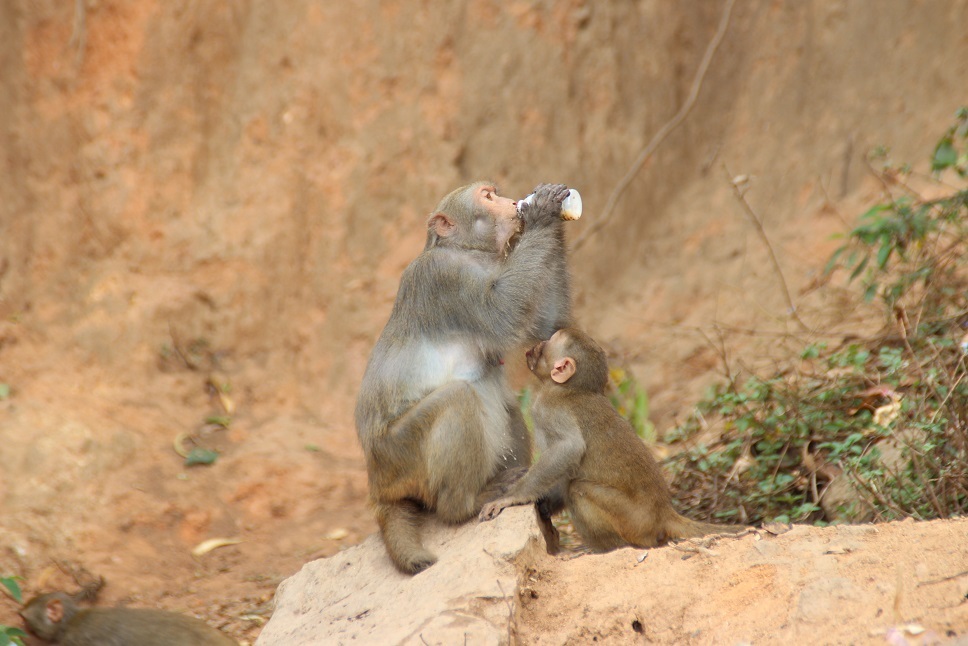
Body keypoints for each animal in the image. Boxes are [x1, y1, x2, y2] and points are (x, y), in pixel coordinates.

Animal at [356, 180, 572, 576]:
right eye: (487, 196)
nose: (510, 202)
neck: (470, 254)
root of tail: (377, 482)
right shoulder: (442, 276)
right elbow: (502, 313)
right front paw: (542, 213)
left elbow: (546, 329)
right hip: (398, 456)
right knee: (457, 399)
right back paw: (464, 505)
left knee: (505, 401)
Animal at [480, 332, 744, 556]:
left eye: (545, 345)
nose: (532, 347)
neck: (570, 388)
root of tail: (664, 512)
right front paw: (545, 505)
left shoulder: (547, 408)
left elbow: (568, 449)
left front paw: (511, 497)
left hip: (634, 520)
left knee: (578, 489)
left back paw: (611, 548)